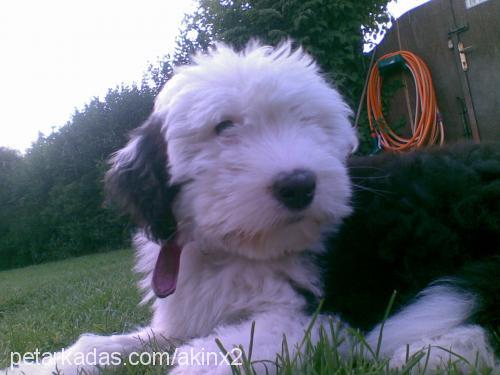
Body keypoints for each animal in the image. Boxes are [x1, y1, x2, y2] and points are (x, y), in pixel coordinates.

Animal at [4, 42, 500, 374]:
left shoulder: (320, 314)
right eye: (224, 126)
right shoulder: (185, 316)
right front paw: (37, 366)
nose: (300, 185)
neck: (237, 248)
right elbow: (104, 344)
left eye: (308, 121)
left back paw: (435, 354)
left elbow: (215, 352)